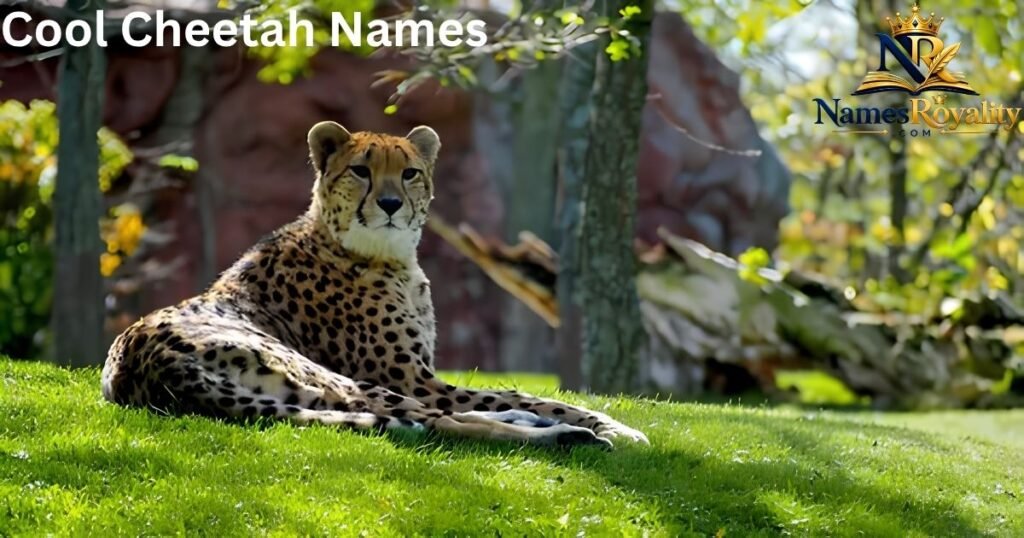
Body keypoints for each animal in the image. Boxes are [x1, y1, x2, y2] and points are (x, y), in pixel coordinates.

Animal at [102, 121, 649, 448]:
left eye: (409, 173)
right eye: (360, 171)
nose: (389, 204)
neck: (385, 255)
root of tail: (141, 367)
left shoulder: (422, 377)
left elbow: (509, 396)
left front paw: (602, 422)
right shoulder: (413, 378)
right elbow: (530, 397)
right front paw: (613, 426)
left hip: (305, 392)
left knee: (432, 418)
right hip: (333, 380)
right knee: (436, 422)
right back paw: (565, 436)